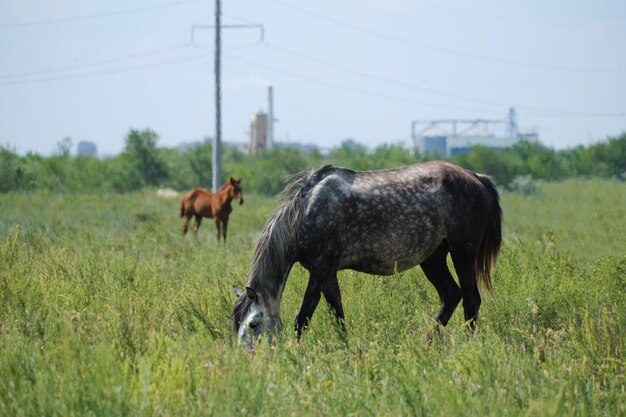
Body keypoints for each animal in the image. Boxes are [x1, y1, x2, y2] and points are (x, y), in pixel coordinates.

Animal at [232, 162, 500, 348]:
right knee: (451, 296)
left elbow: (303, 317)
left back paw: (467, 346)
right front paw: (346, 350)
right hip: (433, 259)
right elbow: (338, 314)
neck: (306, 212)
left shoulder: (319, 270)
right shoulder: (327, 273)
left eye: (253, 323)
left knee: (471, 300)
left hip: (463, 253)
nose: (248, 358)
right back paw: (426, 344)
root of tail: (477, 178)